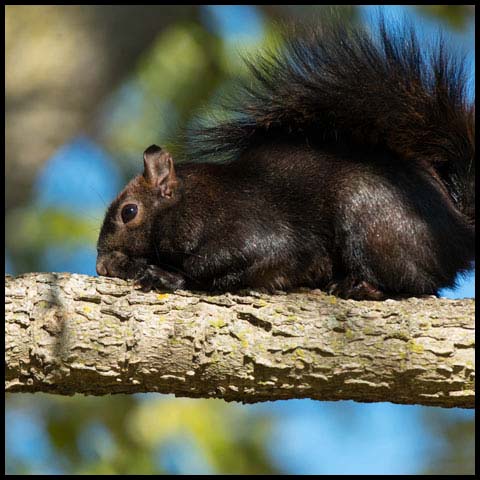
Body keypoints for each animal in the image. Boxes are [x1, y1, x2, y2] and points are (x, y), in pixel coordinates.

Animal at [95, 18, 474, 300]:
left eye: (129, 212)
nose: (100, 266)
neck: (193, 200)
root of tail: (459, 230)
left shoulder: (254, 231)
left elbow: (219, 265)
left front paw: (166, 275)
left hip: (367, 218)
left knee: (413, 282)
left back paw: (357, 286)